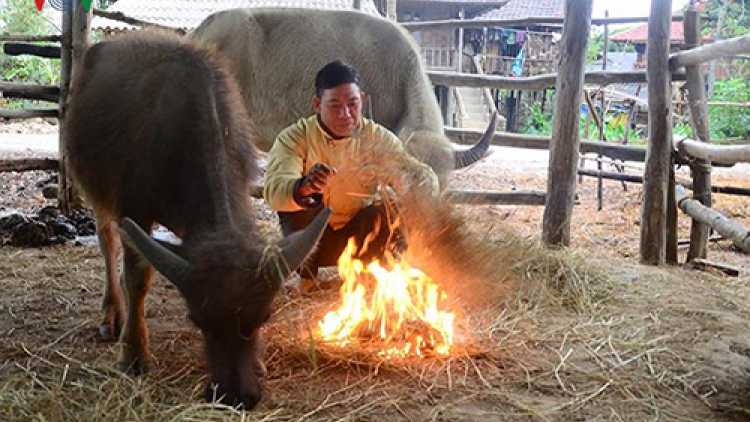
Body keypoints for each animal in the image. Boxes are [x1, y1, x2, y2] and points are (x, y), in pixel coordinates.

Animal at [66, 29, 330, 408]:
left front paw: (258, 362)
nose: (236, 396)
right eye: (197, 320)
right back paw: (113, 313)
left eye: (263, 317)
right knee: (108, 242)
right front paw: (133, 354)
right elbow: (137, 278)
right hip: (95, 188)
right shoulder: (133, 207)